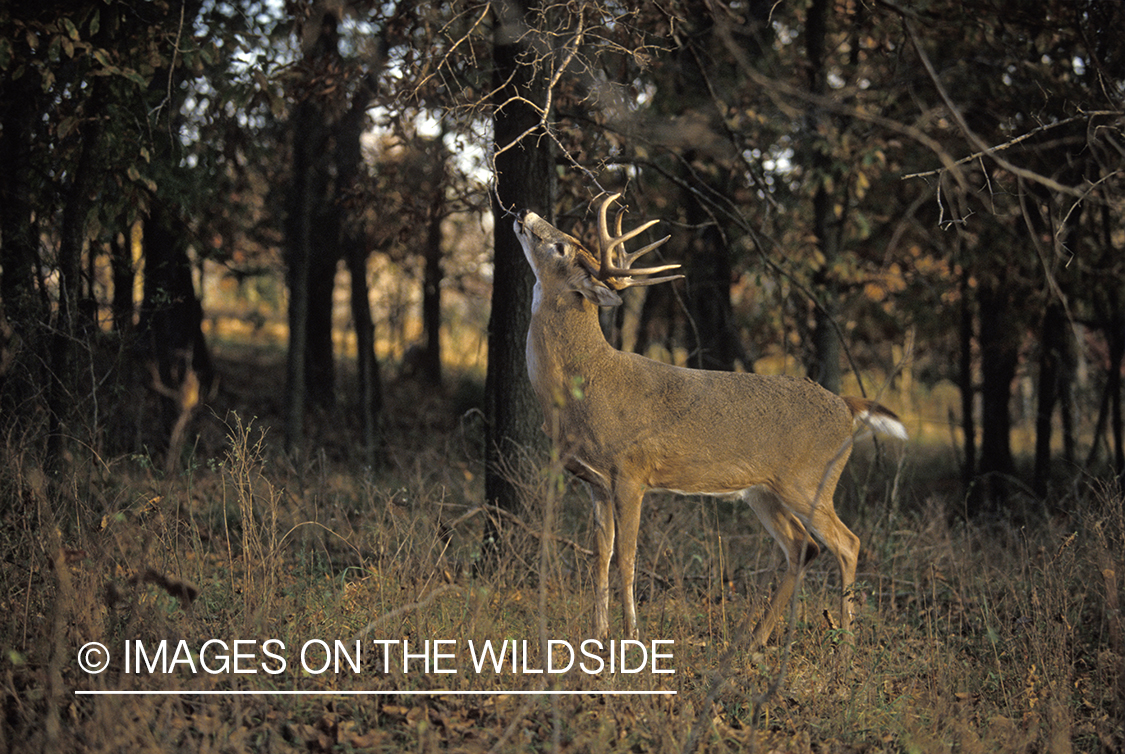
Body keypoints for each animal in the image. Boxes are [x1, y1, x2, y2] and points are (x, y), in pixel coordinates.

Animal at [513, 192, 904, 648]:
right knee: (802, 546)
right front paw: (599, 634)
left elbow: (628, 557)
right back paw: (755, 639)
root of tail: (845, 405)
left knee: (847, 543)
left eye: (561, 247)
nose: (523, 212)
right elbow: (600, 557)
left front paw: (632, 634)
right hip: (764, 491)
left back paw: (845, 642)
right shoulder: (594, 482)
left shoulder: (631, 473)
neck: (583, 387)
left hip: (810, 481)